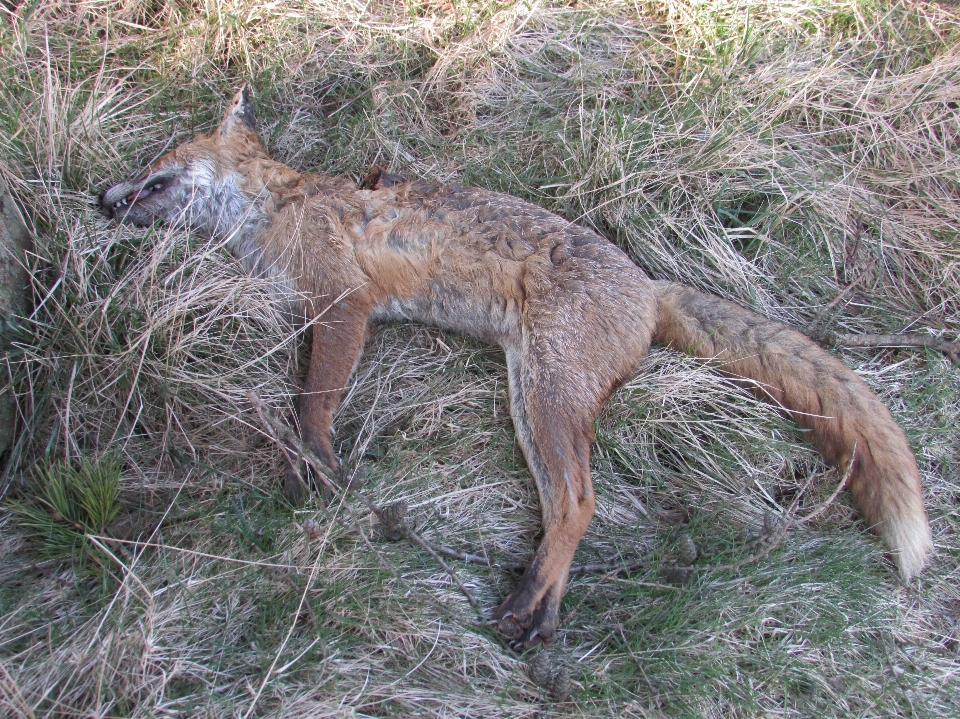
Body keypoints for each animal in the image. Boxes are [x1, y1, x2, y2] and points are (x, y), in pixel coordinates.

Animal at [103, 88, 928, 648]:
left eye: (154, 164)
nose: (103, 196)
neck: (276, 206)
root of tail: (647, 286)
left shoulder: (341, 304)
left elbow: (313, 400)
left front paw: (315, 460)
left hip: (544, 397)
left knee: (581, 503)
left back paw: (528, 602)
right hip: (535, 399)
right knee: (572, 506)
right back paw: (543, 613)